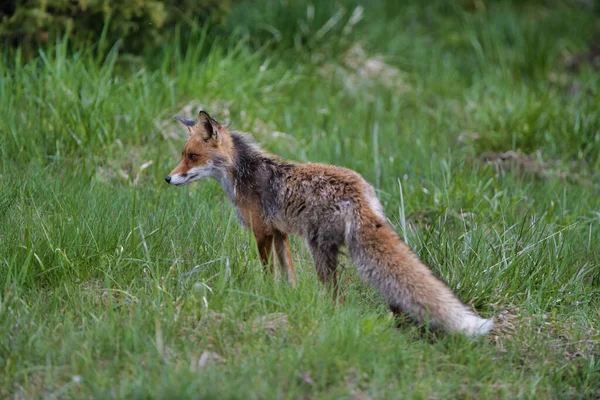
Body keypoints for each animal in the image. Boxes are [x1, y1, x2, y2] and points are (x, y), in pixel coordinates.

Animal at [166, 110, 494, 338]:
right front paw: (288, 299)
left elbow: (268, 273)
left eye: (192, 156)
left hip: (319, 250)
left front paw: (266, 296)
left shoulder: (262, 232)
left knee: (339, 297)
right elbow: (288, 275)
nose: (168, 179)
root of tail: (360, 193)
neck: (243, 174)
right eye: (183, 155)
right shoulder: (280, 233)